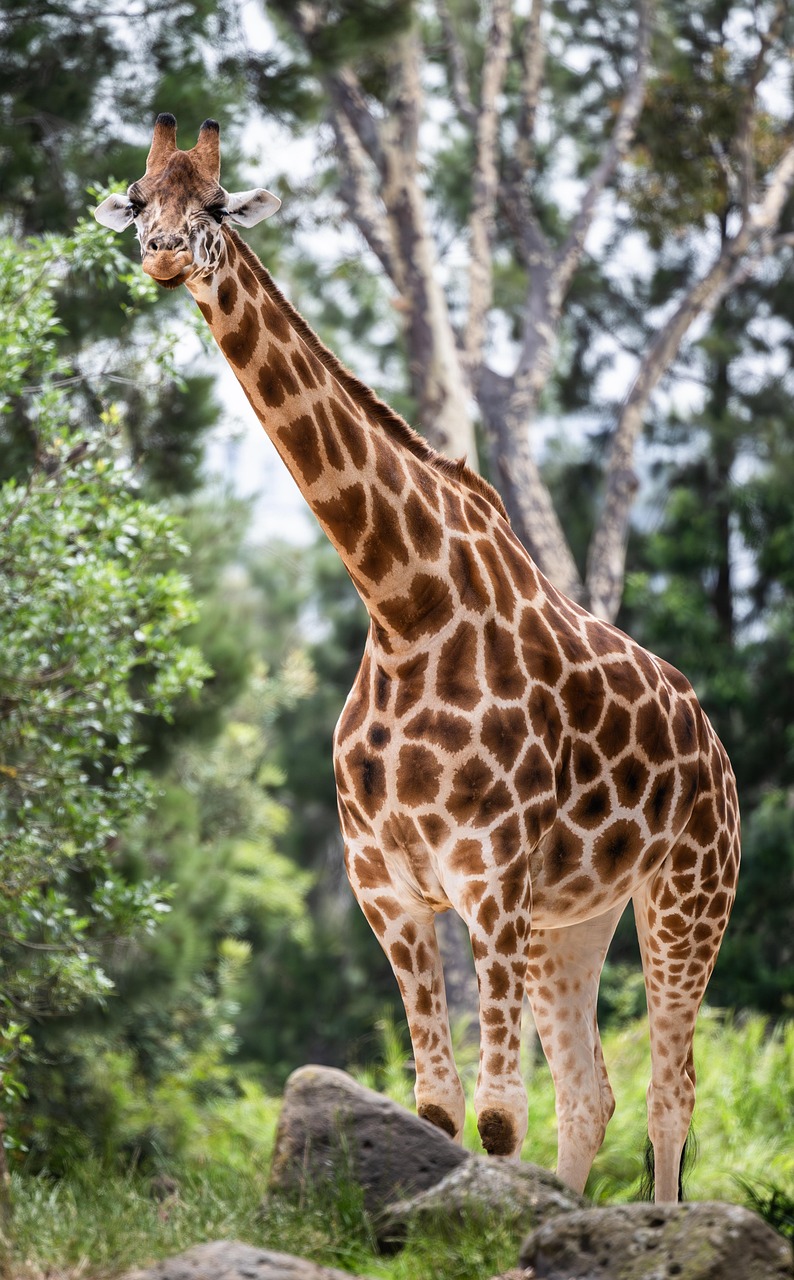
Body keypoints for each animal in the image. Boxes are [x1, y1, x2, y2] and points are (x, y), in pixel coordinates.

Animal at [94, 115, 741, 1203]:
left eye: (217, 206)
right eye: (139, 199)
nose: (164, 255)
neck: (401, 602)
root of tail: (715, 744)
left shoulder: (490, 881)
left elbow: (496, 1115)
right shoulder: (388, 889)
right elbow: (439, 1108)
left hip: (688, 890)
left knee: (670, 1091)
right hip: (576, 917)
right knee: (592, 1092)